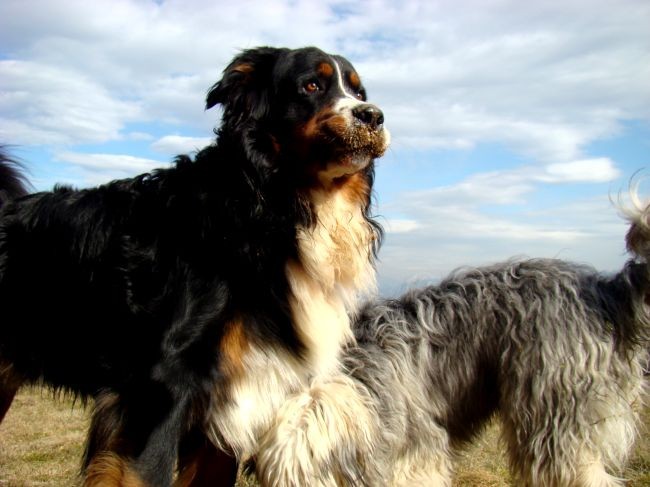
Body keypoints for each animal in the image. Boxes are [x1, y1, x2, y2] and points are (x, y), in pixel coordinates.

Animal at [0, 44, 384, 484]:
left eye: (359, 92)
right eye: (311, 86)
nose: (373, 115)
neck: (266, 209)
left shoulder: (235, 397)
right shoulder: (162, 390)